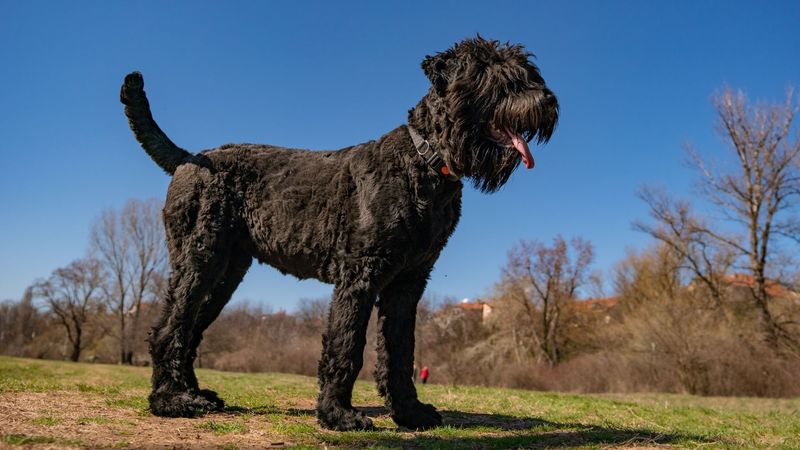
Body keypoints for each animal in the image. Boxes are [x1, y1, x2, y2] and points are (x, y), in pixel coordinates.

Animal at [120, 37, 556, 430]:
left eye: (528, 71)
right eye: (493, 75)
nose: (548, 102)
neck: (423, 161)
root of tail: (189, 158)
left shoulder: (408, 283)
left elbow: (399, 352)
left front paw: (410, 413)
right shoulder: (360, 276)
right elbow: (346, 346)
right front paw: (338, 415)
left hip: (225, 274)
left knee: (189, 332)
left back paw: (196, 394)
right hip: (200, 262)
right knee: (168, 331)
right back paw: (171, 401)